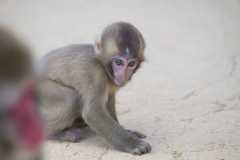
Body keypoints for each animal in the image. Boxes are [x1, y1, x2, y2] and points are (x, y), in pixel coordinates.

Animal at [38, 21, 151, 154]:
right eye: (118, 62)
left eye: (131, 64)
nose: (123, 75)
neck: (104, 66)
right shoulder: (96, 74)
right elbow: (93, 112)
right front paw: (133, 144)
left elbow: (108, 101)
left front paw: (128, 132)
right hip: (40, 90)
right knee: (71, 99)